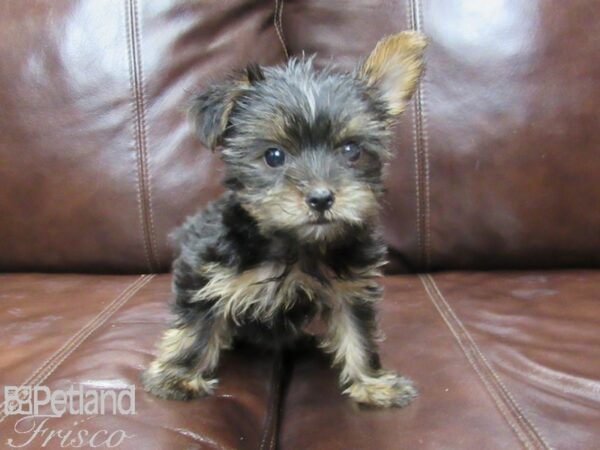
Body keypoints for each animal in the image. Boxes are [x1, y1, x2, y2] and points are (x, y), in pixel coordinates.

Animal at [144, 31, 426, 408]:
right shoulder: (205, 270)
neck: (296, 244)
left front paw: (373, 382)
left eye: (352, 150)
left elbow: (359, 332)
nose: (321, 198)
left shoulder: (350, 287)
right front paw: (179, 377)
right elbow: (196, 323)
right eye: (274, 156)